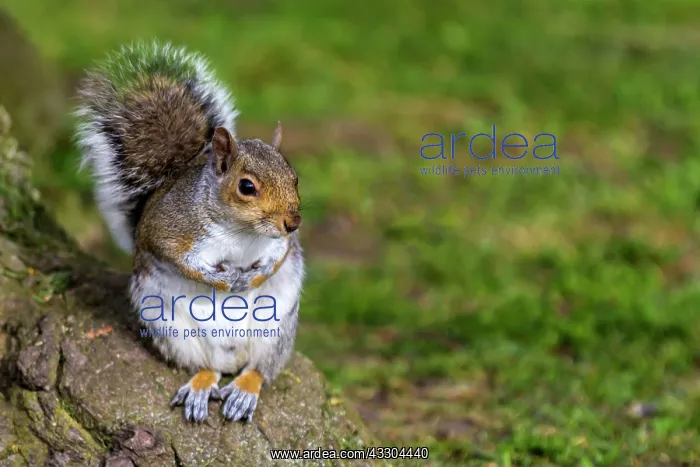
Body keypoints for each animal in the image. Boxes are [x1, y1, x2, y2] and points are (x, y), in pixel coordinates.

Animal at [74, 42, 305, 423]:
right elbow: (179, 258)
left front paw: (253, 277)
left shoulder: (280, 242)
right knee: (206, 367)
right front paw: (221, 280)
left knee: (259, 369)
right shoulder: (169, 230)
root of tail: (230, 358)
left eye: (294, 177)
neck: (241, 232)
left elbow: (279, 255)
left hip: (278, 331)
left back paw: (243, 391)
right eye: (246, 187)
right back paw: (201, 387)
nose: (293, 221)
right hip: (171, 331)